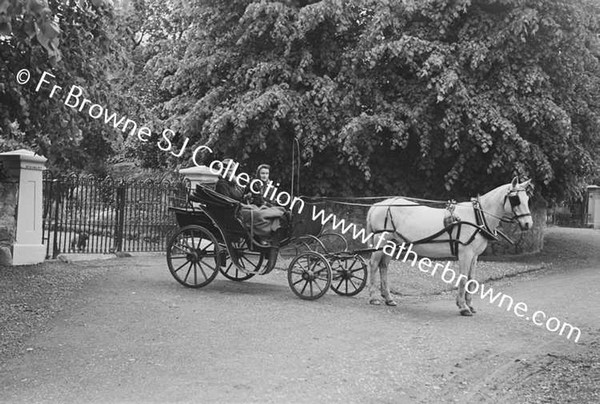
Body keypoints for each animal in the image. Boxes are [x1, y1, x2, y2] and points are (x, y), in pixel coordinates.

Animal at [368, 178, 532, 316]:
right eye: (515, 199)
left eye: (527, 199)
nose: (528, 224)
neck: (477, 217)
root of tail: (378, 205)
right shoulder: (465, 253)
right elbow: (463, 278)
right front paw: (463, 307)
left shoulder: (474, 256)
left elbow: (471, 279)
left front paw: (469, 305)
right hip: (381, 240)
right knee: (374, 264)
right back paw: (373, 297)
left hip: (390, 244)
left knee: (384, 266)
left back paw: (388, 298)